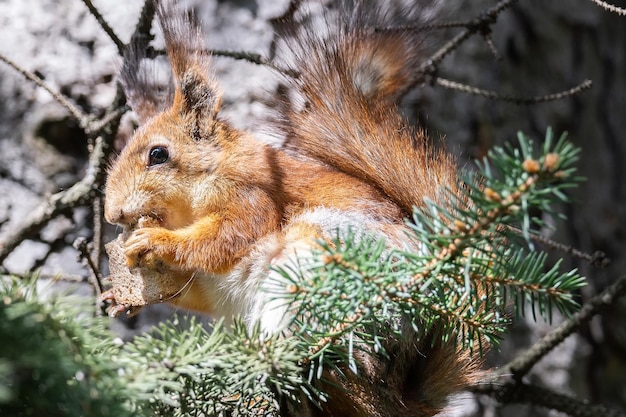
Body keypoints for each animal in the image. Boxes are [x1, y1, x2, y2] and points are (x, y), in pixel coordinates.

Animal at [103, 1, 478, 414]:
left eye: (158, 154)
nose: (111, 214)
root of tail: (396, 394)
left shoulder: (253, 197)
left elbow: (227, 238)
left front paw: (155, 240)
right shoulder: (210, 285)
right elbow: (198, 289)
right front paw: (117, 298)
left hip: (319, 265)